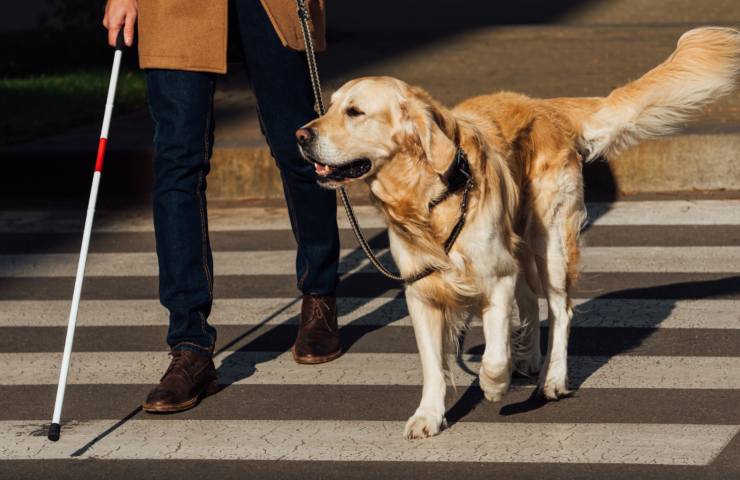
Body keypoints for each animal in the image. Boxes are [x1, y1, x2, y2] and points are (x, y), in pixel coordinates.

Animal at [294, 27, 740, 438]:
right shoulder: (421, 291)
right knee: (529, 300)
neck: (430, 197)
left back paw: (551, 378)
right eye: (328, 107)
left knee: (559, 310)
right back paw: (527, 358)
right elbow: (433, 365)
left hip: (551, 241)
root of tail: (544, 106)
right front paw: (428, 415)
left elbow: (493, 355)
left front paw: (494, 385)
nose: (300, 135)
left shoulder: (496, 275)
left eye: (354, 112)